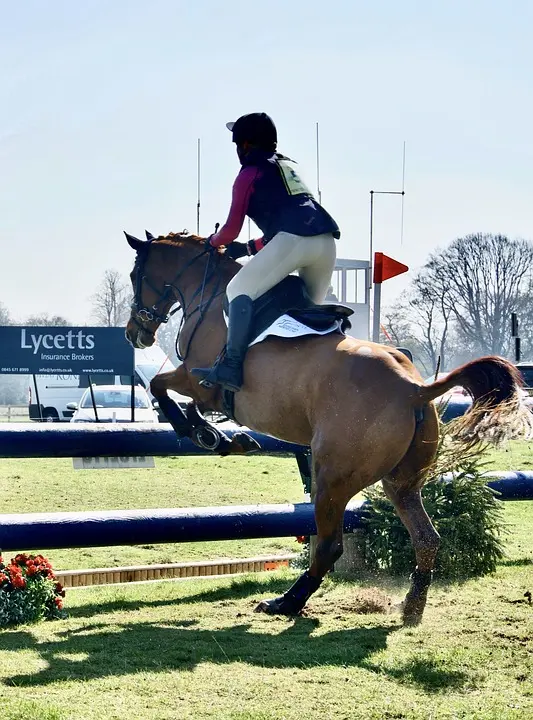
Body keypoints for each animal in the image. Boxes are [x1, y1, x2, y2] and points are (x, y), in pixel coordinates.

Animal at [123, 231, 528, 624]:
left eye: (135, 275)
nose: (133, 333)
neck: (208, 295)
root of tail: (414, 388)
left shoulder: (198, 379)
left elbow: (160, 387)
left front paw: (204, 434)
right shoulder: (203, 389)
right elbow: (178, 399)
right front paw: (221, 436)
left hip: (333, 477)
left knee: (330, 544)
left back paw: (286, 602)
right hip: (401, 482)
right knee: (426, 537)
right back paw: (412, 606)